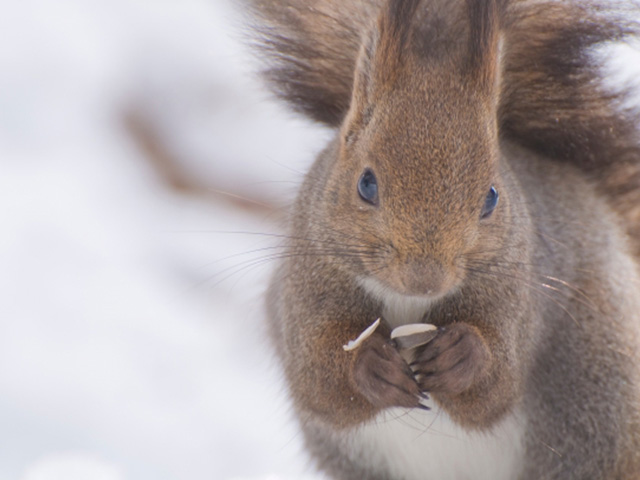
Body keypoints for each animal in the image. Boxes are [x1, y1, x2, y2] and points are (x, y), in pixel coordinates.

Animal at [248, 0, 640, 478]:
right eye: (365, 184)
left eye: (491, 197)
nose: (425, 279)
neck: (408, 304)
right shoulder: (306, 283)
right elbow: (318, 379)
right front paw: (371, 366)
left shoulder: (521, 292)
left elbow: (497, 383)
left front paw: (461, 355)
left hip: (594, 389)